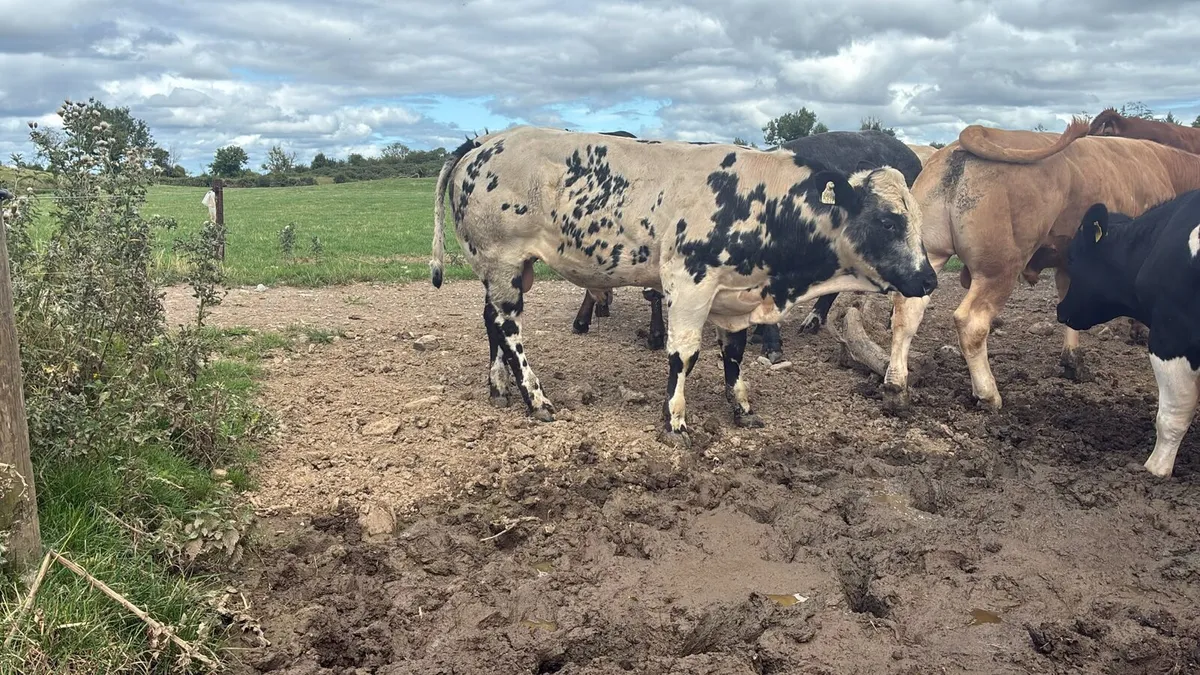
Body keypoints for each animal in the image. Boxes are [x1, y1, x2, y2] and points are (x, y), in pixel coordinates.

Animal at [428, 126, 937, 445]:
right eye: (889, 222)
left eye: (916, 218)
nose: (929, 278)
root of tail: (484, 142)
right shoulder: (690, 283)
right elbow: (684, 354)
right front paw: (675, 420)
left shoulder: (734, 295)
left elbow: (734, 355)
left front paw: (742, 408)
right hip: (504, 261)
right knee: (508, 328)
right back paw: (535, 397)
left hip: (502, 269)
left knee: (490, 322)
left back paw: (499, 388)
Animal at [877, 118, 1200, 414]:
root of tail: (964, 143)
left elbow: (1069, 300)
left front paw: (1073, 362)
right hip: (999, 269)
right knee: (971, 323)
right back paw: (989, 395)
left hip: (928, 253)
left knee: (906, 313)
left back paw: (896, 387)